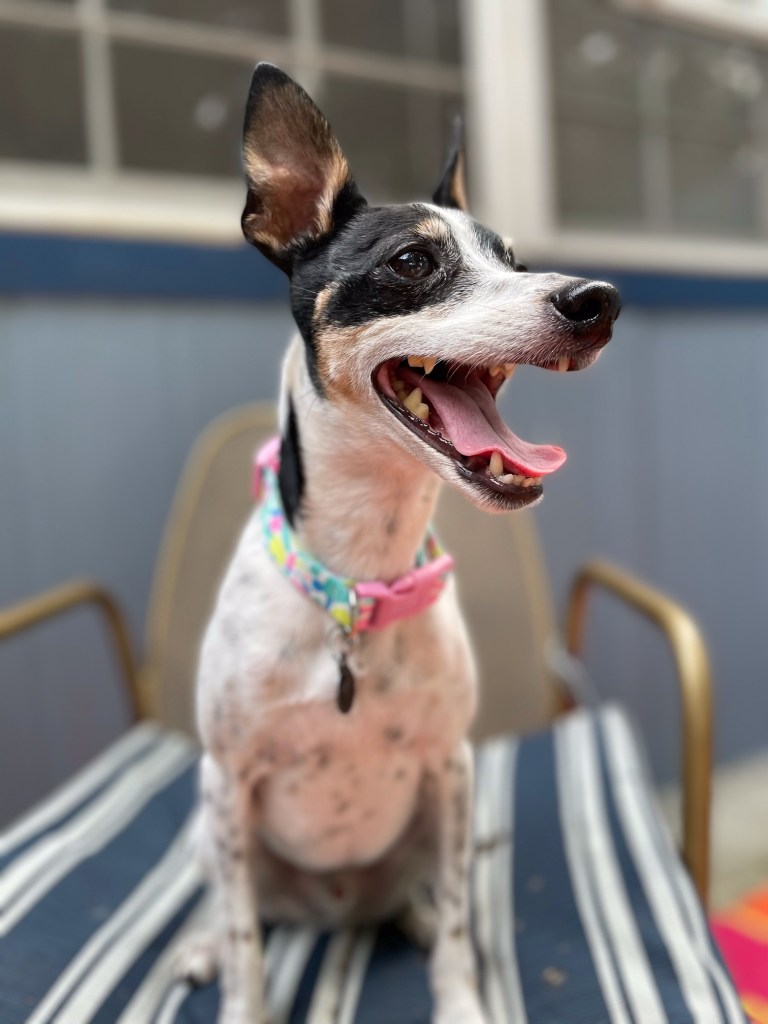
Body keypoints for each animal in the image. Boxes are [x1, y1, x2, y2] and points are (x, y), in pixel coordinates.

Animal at [177, 63, 620, 1024]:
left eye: (513, 261)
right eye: (412, 262)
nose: (598, 302)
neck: (358, 578)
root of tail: (334, 909)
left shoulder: (448, 769)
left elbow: (455, 925)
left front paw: (459, 1000)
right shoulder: (231, 779)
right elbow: (245, 945)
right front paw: (235, 984)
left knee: (425, 898)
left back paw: (406, 915)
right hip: (210, 825)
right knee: (234, 906)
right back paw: (201, 940)